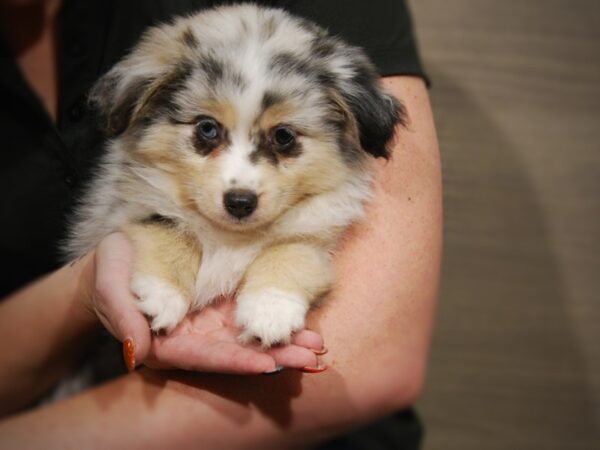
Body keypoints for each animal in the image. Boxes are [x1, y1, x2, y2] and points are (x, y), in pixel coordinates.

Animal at [65, 3, 406, 346]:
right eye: (207, 128)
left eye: (283, 136)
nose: (240, 203)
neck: (229, 237)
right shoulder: (128, 209)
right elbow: (171, 230)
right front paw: (163, 294)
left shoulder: (316, 231)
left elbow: (291, 251)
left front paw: (270, 310)